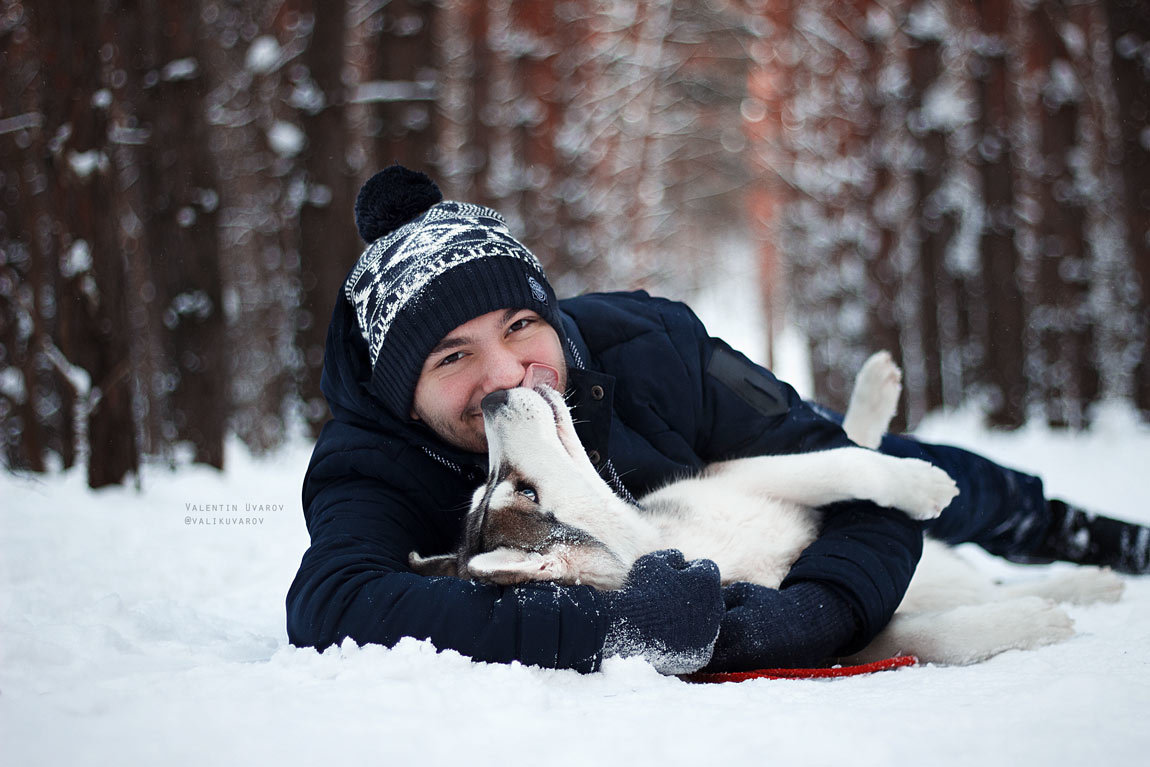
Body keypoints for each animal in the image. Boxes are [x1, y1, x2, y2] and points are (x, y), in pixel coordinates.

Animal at [414, 351, 1122, 662]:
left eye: (514, 488)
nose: (492, 400)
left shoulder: (743, 476)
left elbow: (841, 461)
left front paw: (915, 483)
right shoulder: (853, 636)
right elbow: (919, 634)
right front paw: (1028, 624)